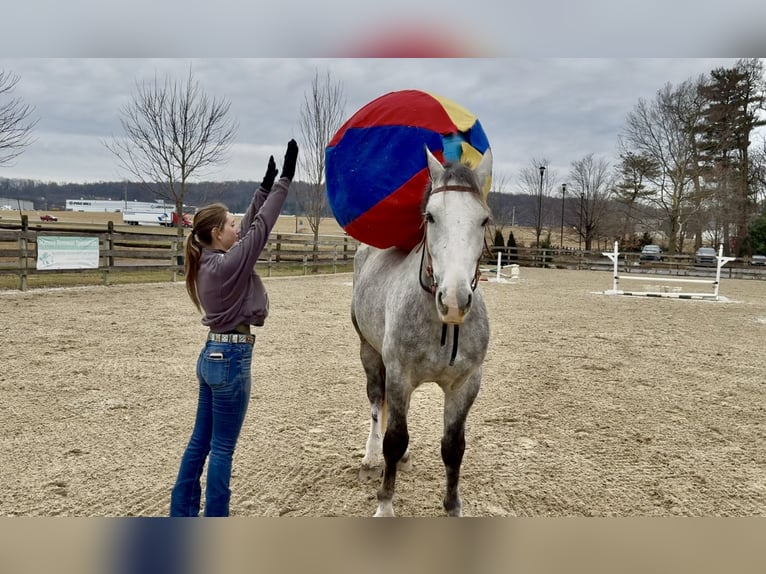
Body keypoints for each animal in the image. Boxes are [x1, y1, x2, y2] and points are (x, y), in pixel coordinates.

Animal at [351, 146, 493, 517]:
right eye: (430, 217)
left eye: (484, 219)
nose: (454, 301)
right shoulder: (399, 376)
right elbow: (394, 439)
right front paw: (385, 506)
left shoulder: (465, 384)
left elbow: (453, 447)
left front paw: (453, 507)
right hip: (369, 351)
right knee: (376, 401)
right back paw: (370, 456)